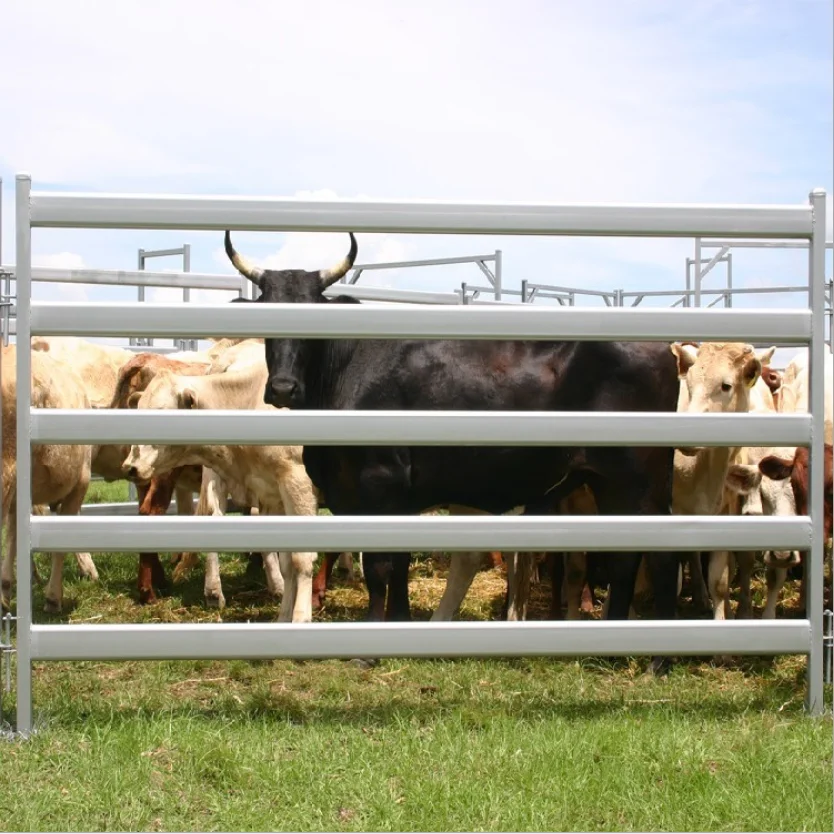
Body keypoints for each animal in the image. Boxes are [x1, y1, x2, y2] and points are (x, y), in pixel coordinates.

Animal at [223, 230, 683, 668]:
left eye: (312, 312)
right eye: (266, 310)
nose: (283, 387)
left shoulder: (379, 486)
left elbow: (379, 567)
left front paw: (370, 648)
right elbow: (398, 566)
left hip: (637, 482)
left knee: (659, 558)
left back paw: (659, 659)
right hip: (611, 484)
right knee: (626, 558)